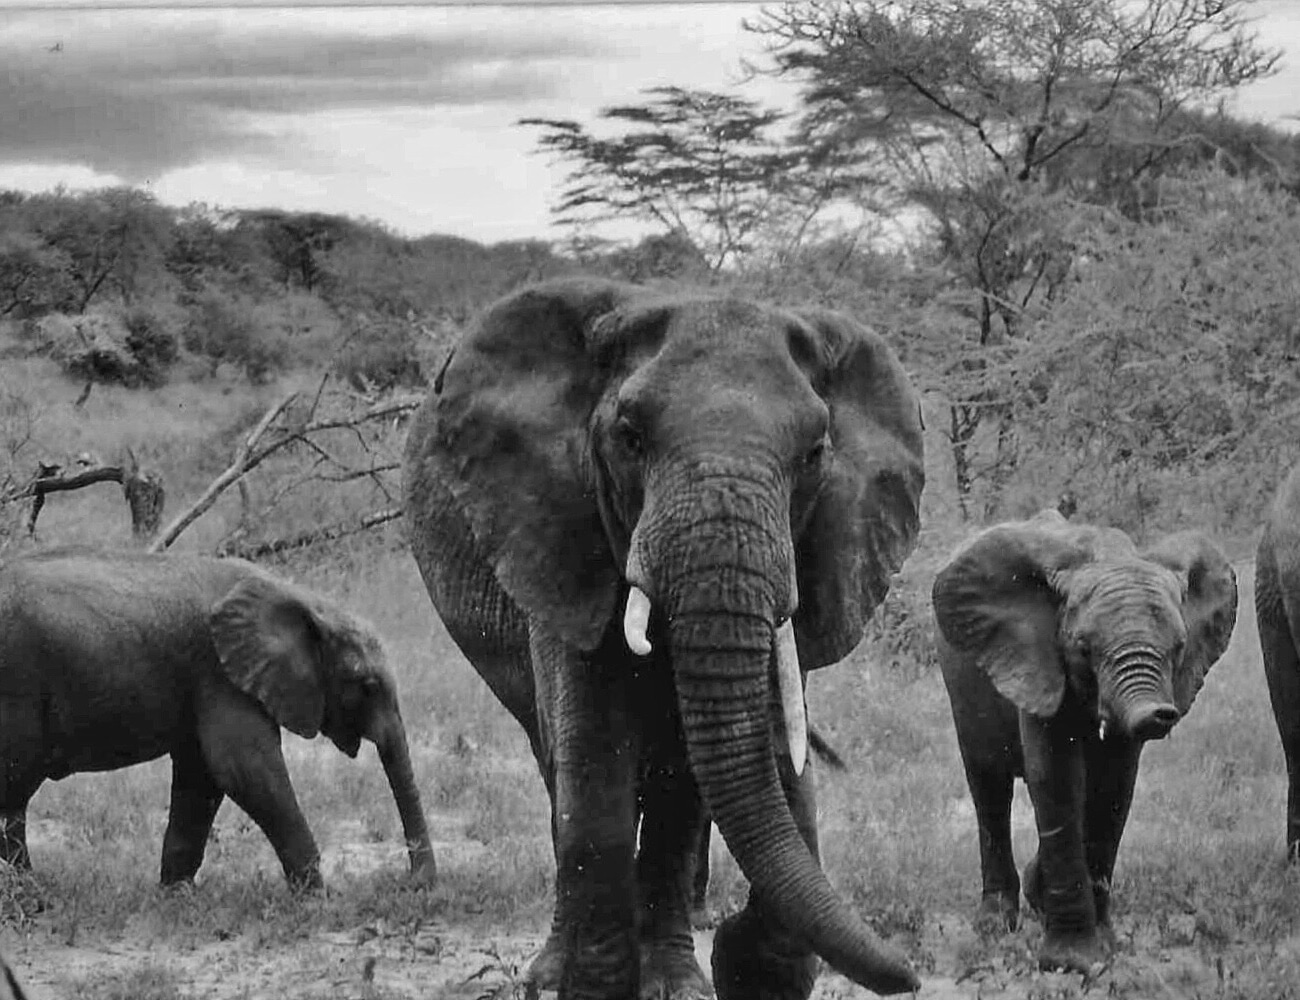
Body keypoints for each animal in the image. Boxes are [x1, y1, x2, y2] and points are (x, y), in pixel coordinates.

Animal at [0, 546, 436, 889]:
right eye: (367, 685)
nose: (414, 884)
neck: (300, 597)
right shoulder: (221, 675)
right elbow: (244, 769)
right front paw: (318, 897)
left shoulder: (208, 681)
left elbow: (203, 777)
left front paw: (177, 894)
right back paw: (29, 894)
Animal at [405, 276, 925, 993]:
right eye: (629, 437)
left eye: (815, 454)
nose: (911, 975)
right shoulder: (561, 531)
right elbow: (594, 760)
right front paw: (600, 987)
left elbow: (687, 785)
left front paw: (685, 983)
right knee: (555, 764)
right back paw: (549, 971)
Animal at [930, 509, 1232, 972]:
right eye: (1084, 647)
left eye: (1179, 646)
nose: (1160, 714)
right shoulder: (1039, 659)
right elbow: (1056, 777)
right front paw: (1073, 963)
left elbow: (1114, 786)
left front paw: (1106, 944)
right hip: (961, 680)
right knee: (988, 785)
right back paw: (996, 925)